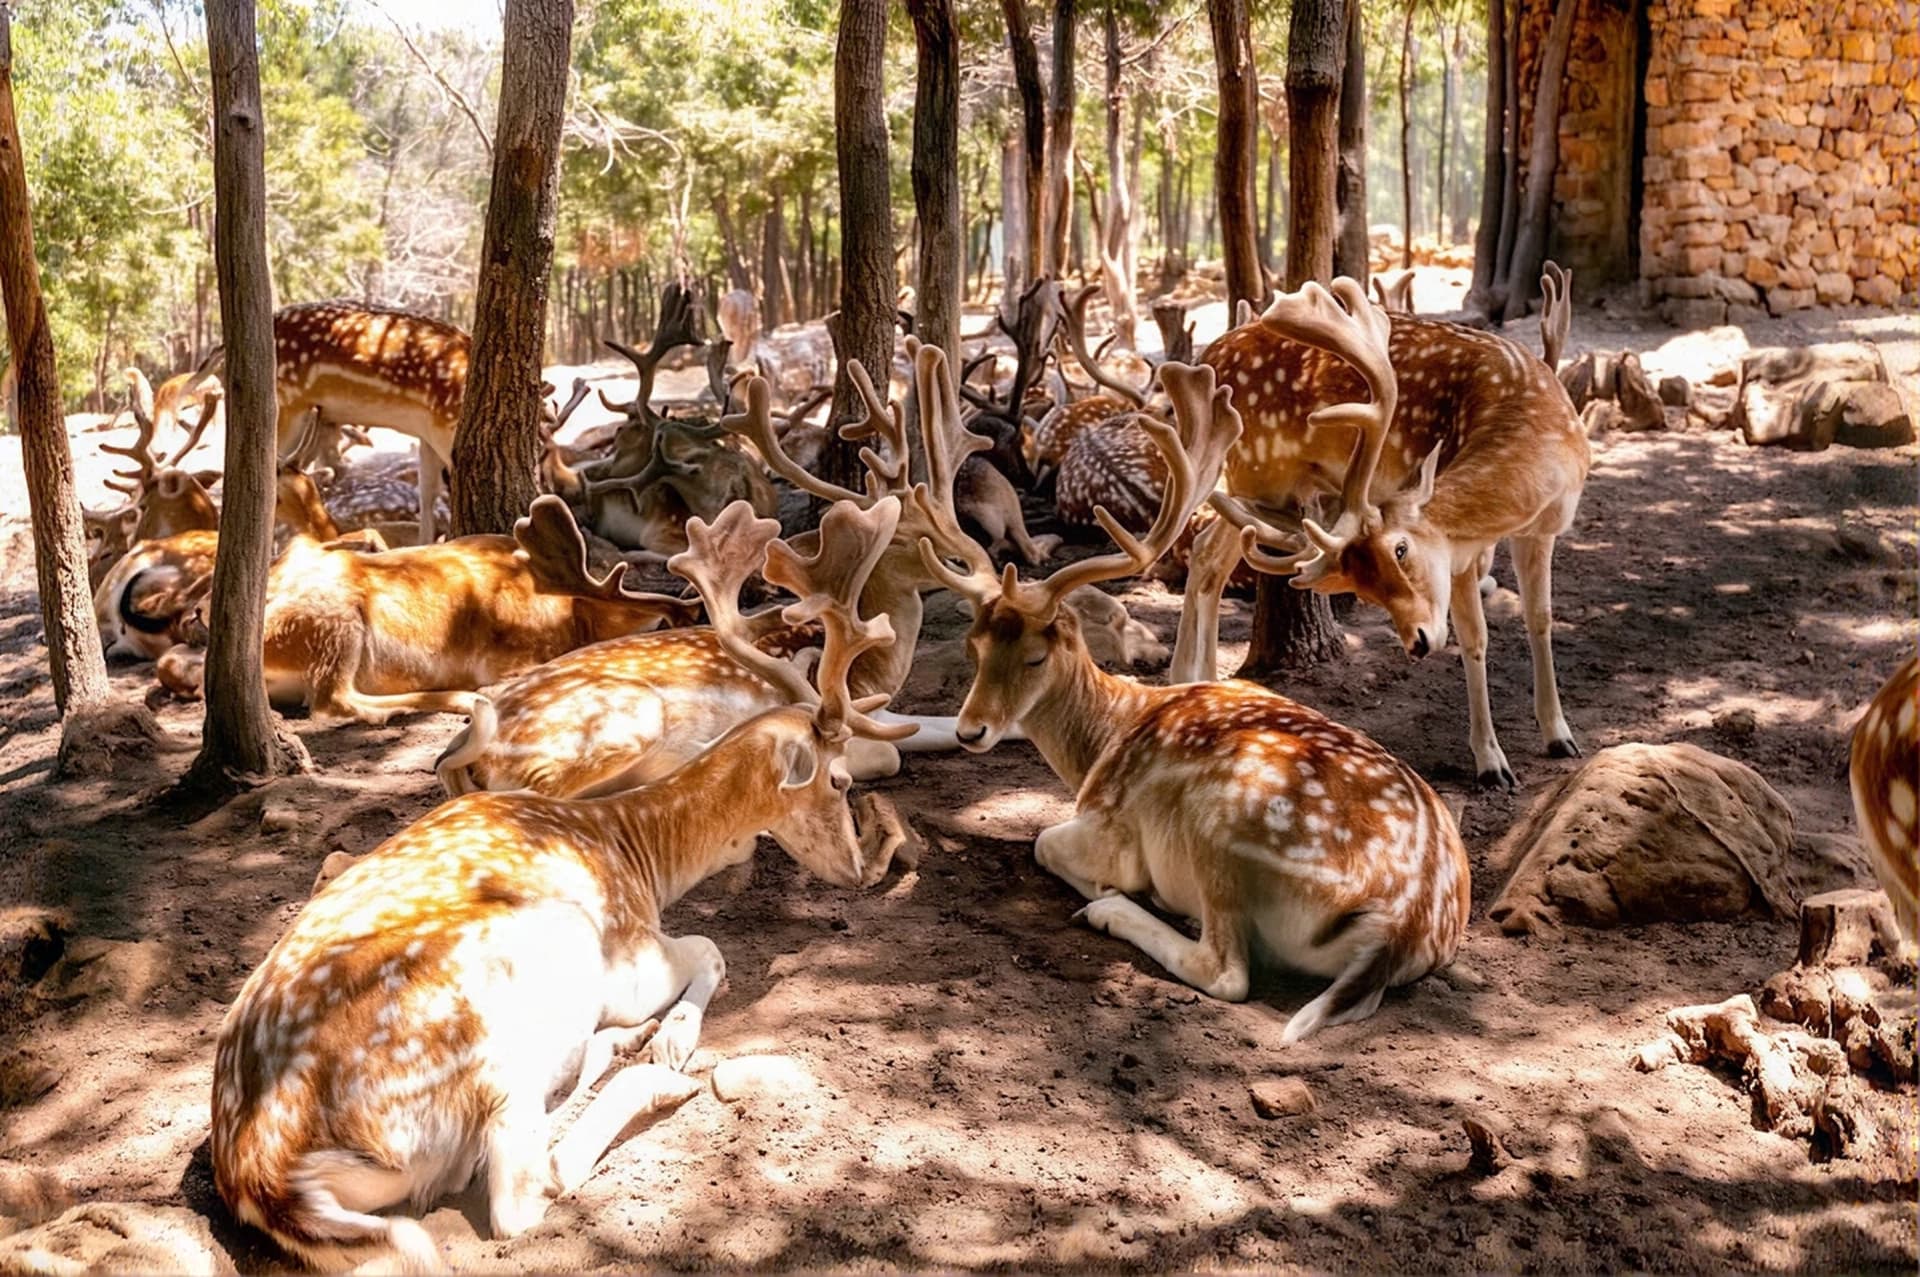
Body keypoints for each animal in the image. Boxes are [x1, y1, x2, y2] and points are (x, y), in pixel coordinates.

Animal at [210, 496, 915, 1274]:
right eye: (839, 780)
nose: (856, 871)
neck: (637, 851)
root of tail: (266, 1174)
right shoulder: (635, 954)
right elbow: (711, 948)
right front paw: (673, 1037)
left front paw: (649, 1035)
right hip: (498, 1045)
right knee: (525, 1188)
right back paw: (655, 1073)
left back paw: (622, 1047)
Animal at [917, 359, 1470, 1040]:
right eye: (973, 645)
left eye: (1036, 655)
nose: (970, 730)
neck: (1106, 738)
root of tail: (1406, 923)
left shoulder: (1114, 826)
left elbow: (1044, 840)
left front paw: (1111, 890)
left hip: (1222, 830)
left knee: (1227, 972)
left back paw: (1119, 911)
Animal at [1176, 270, 1590, 788]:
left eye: (1399, 551)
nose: (1418, 642)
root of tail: (1208, 357)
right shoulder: (1463, 552)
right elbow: (1475, 638)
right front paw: (1491, 763)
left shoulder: (1542, 530)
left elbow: (1540, 618)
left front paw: (1560, 736)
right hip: (1257, 471)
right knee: (1207, 554)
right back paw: (1190, 681)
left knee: (1207, 553)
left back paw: (1198, 685)